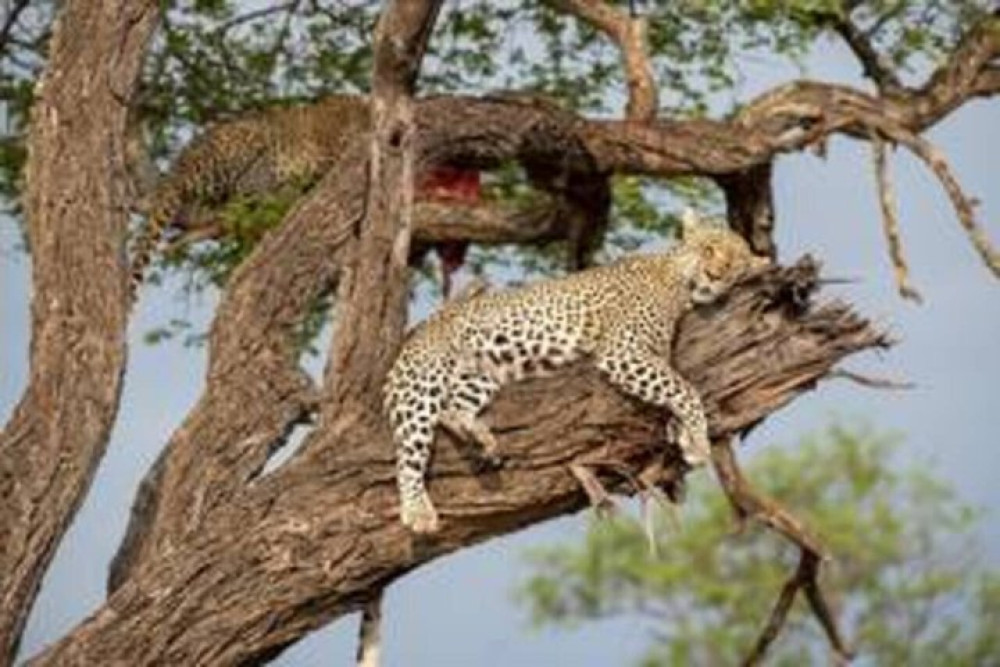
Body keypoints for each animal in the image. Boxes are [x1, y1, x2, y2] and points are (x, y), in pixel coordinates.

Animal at [383, 209, 770, 533]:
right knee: (409, 451)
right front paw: (701, 443)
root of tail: (414, 335)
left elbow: (673, 392)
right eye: (708, 249)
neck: (676, 281)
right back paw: (418, 511)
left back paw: (481, 437)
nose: (714, 275)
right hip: (424, 381)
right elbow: (685, 389)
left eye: (734, 264)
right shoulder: (624, 350)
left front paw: (685, 438)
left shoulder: (652, 355)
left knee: (452, 410)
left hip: (481, 373)